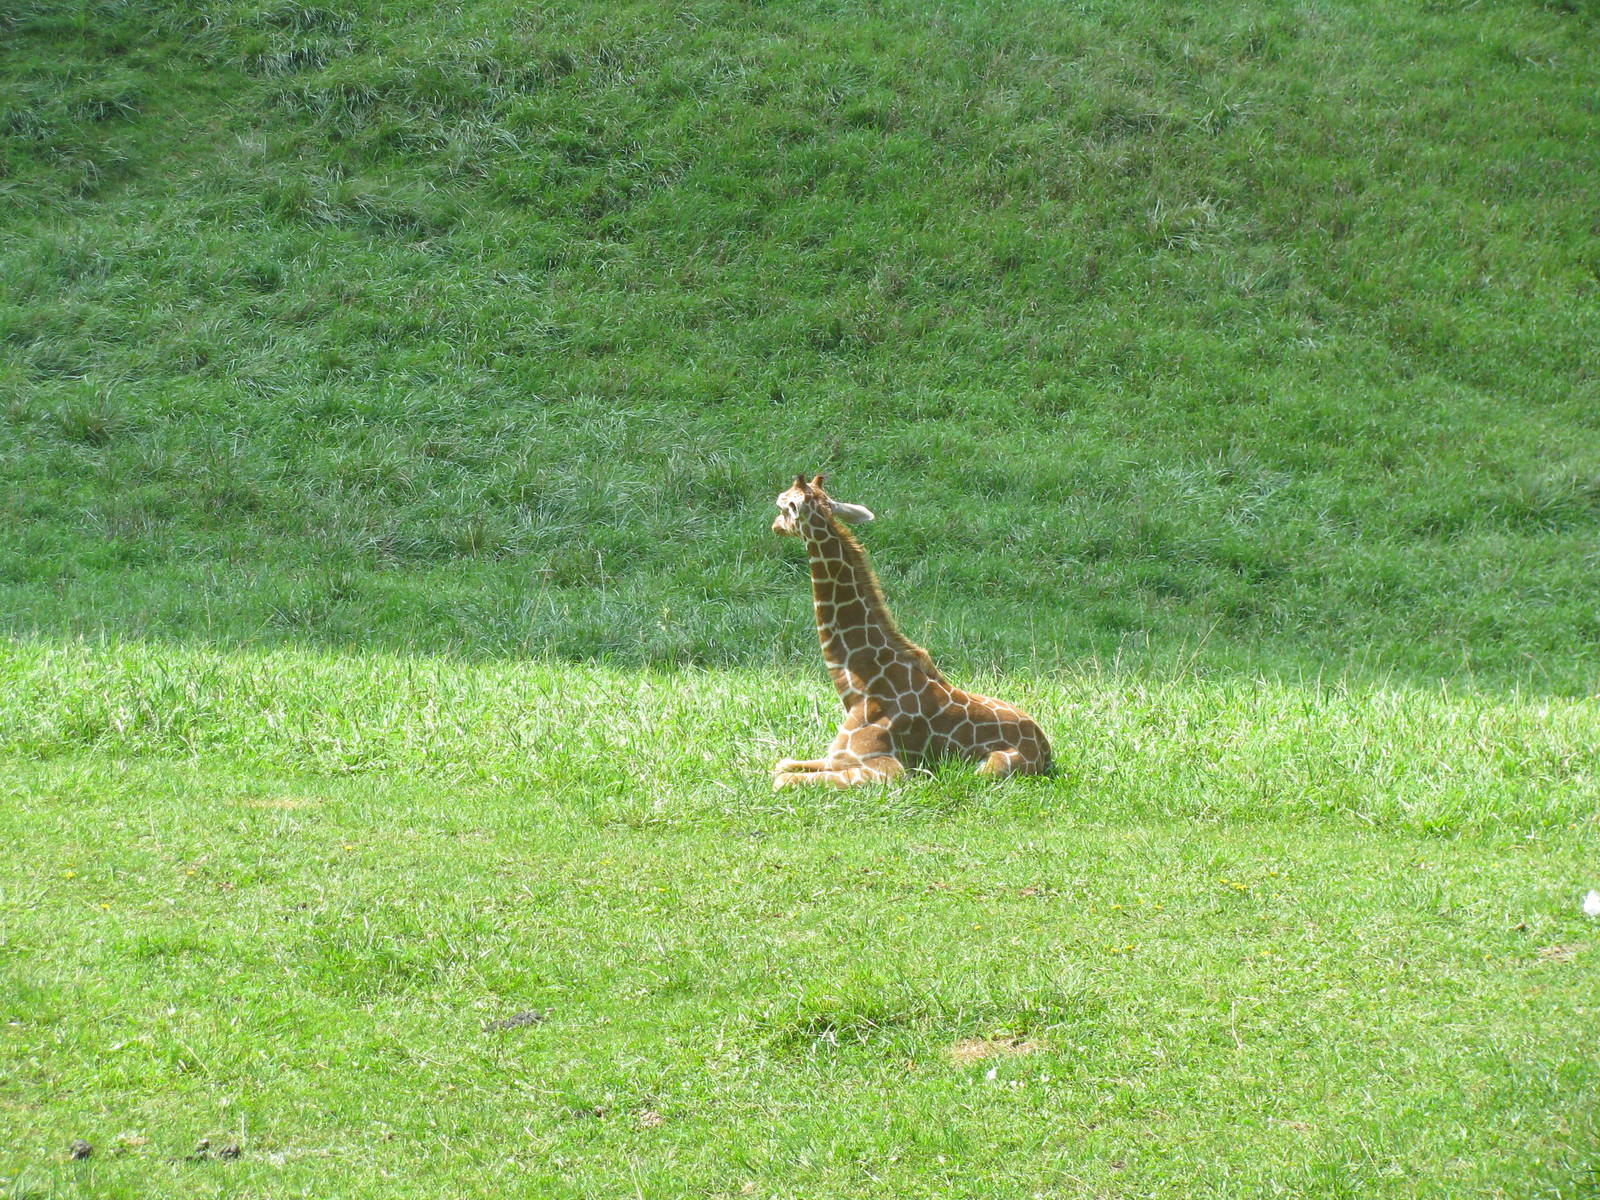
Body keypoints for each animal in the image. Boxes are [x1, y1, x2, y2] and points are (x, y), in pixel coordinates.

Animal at [770, 474, 1052, 789]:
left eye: (782, 505)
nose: (775, 526)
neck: (859, 687)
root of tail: (1045, 749)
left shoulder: (888, 768)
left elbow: (782, 779)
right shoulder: (835, 757)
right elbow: (782, 764)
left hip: (990, 768)